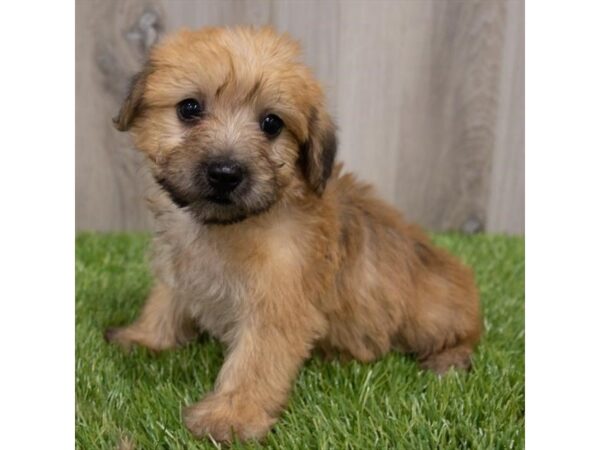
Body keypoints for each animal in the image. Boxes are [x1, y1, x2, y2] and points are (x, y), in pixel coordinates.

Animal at [106, 25, 482, 442]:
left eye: (272, 124)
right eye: (189, 109)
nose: (225, 172)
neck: (230, 225)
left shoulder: (277, 301)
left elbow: (255, 362)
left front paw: (231, 416)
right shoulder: (180, 267)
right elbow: (165, 301)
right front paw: (144, 337)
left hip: (432, 313)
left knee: (463, 335)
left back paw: (448, 359)